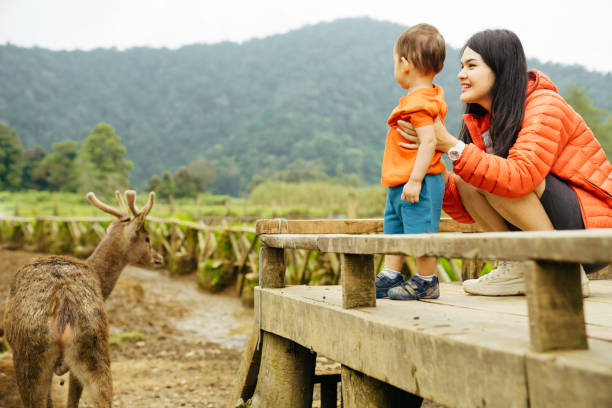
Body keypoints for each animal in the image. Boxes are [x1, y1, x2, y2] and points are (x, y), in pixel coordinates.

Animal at [1, 192, 163, 408]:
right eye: (147, 238)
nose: (159, 258)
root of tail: (63, 294)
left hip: (33, 353)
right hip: (91, 345)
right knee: (103, 397)